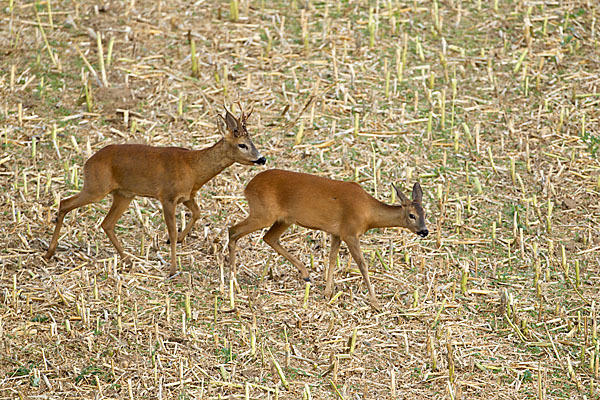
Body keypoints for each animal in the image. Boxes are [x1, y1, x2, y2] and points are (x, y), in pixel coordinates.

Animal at [44, 106, 264, 276]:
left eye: (252, 142)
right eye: (242, 145)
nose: (261, 159)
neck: (194, 169)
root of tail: (88, 162)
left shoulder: (187, 196)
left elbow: (197, 213)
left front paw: (178, 240)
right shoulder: (167, 196)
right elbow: (172, 231)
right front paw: (173, 268)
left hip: (124, 194)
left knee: (107, 223)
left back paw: (127, 260)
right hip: (96, 187)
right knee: (65, 203)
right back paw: (49, 252)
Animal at [227, 169, 428, 310]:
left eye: (425, 213)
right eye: (411, 215)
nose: (424, 231)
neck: (368, 214)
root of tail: (248, 187)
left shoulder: (337, 233)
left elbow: (331, 259)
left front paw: (327, 292)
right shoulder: (350, 232)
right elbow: (362, 264)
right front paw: (375, 302)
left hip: (284, 219)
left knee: (269, 238)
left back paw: (305, 274)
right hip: (263, 213)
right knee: (233, 231)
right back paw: (233, 281)